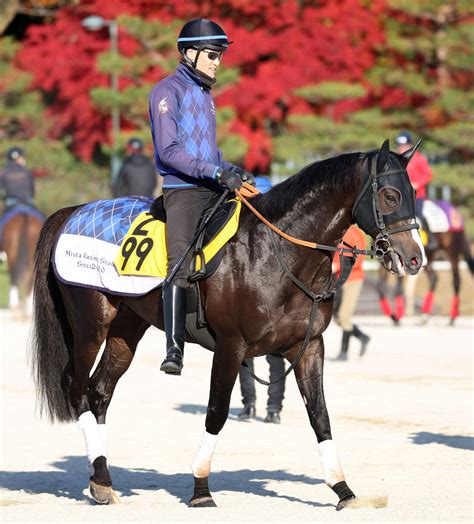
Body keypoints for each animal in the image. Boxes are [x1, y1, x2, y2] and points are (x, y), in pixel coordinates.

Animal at [31, 141, 424, 510]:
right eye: (391, 195)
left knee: (100, 391)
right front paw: (201, 489)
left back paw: (101, 480)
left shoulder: (309, 346)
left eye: (414, 194)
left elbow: (320, 416)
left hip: (126, 330)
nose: (414, 258)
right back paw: (100, 477)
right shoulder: (231, 346)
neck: (274, 250)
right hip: (91, 326)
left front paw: (343, 490)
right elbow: (217, 413)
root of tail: (73, 212)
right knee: (78, 388)